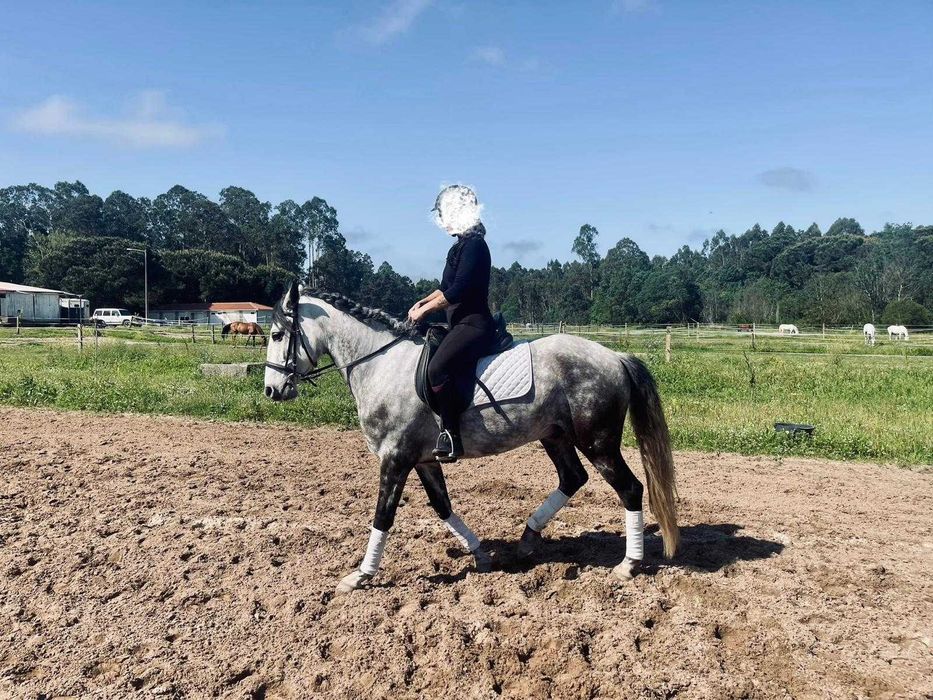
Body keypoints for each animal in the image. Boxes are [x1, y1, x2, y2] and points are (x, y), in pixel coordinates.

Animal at [263, 283, 679, 593]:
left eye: (277, 334)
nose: (271, 390)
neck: (379, 363)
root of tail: (615, 357)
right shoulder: (423, 459)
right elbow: (442, 506)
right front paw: (479, 554)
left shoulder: (395, 458)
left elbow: (383, 515)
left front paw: (361, 575)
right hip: (555, 436)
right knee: (573, 478)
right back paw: (528, 538)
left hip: (598, 442)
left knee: (630, 489)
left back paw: (628, 564)